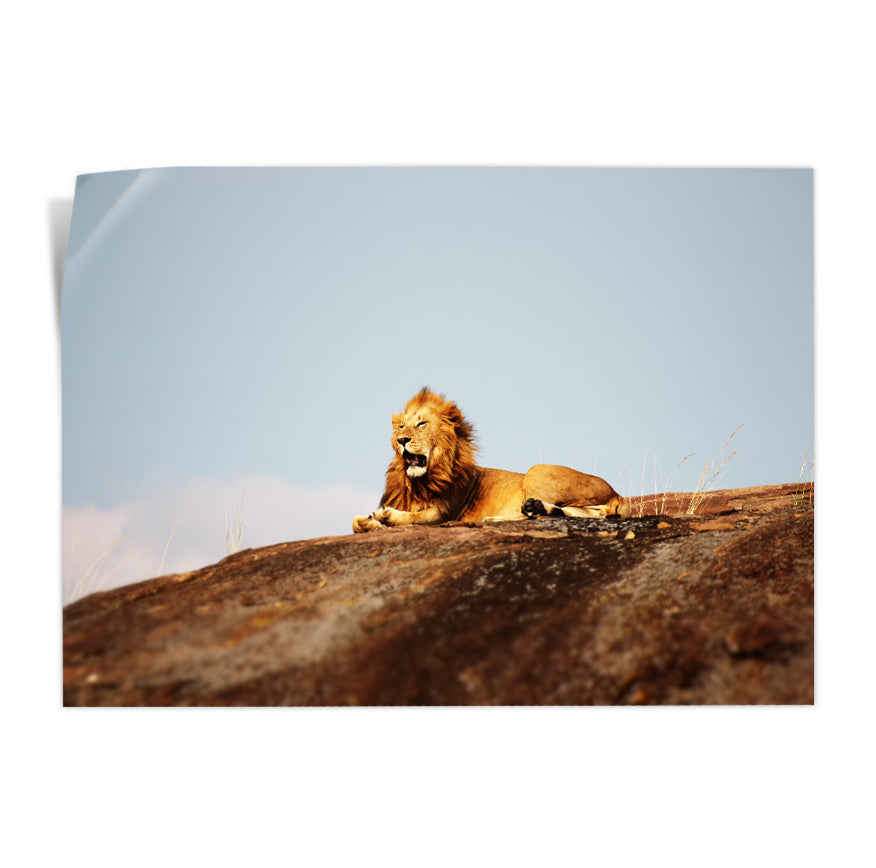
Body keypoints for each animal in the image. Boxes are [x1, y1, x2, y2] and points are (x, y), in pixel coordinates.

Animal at [352, 387, 630, 533]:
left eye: (421, 424)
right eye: (401, 426)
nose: (402, 440)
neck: (418, 482)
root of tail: (617, 493)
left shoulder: (443, 512)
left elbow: (414, 517)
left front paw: (385, 518)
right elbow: (356, 522)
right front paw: (371, 521)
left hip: (536, 471)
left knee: (584, 513)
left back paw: (502, 517)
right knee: (583, 513)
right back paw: (531, 508)